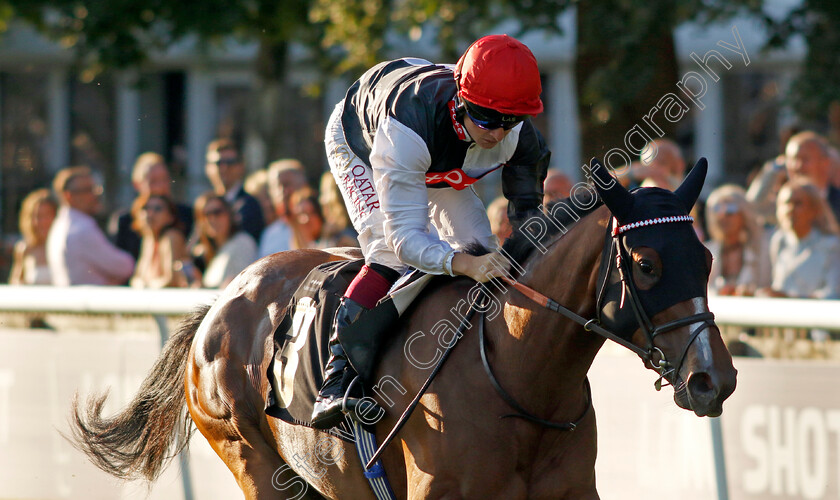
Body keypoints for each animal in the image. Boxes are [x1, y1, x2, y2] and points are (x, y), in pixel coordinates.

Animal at [70, 158, 736, 498]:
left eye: (707, 261)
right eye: (646, 265)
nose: (715, 379)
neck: (518, 374)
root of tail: (220, 302)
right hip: (253, 461)